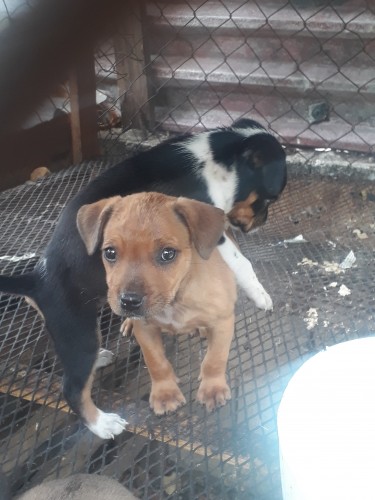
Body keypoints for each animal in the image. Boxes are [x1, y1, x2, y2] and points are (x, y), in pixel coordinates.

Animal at [77, 192, 236, 414]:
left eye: (168, 253)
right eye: (110, 253)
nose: (129, 301)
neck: (174, 301)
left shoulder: (223, 322)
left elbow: (215, 359)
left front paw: (213, 389)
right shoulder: (145, 330)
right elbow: (156, 362)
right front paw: (165, 393)